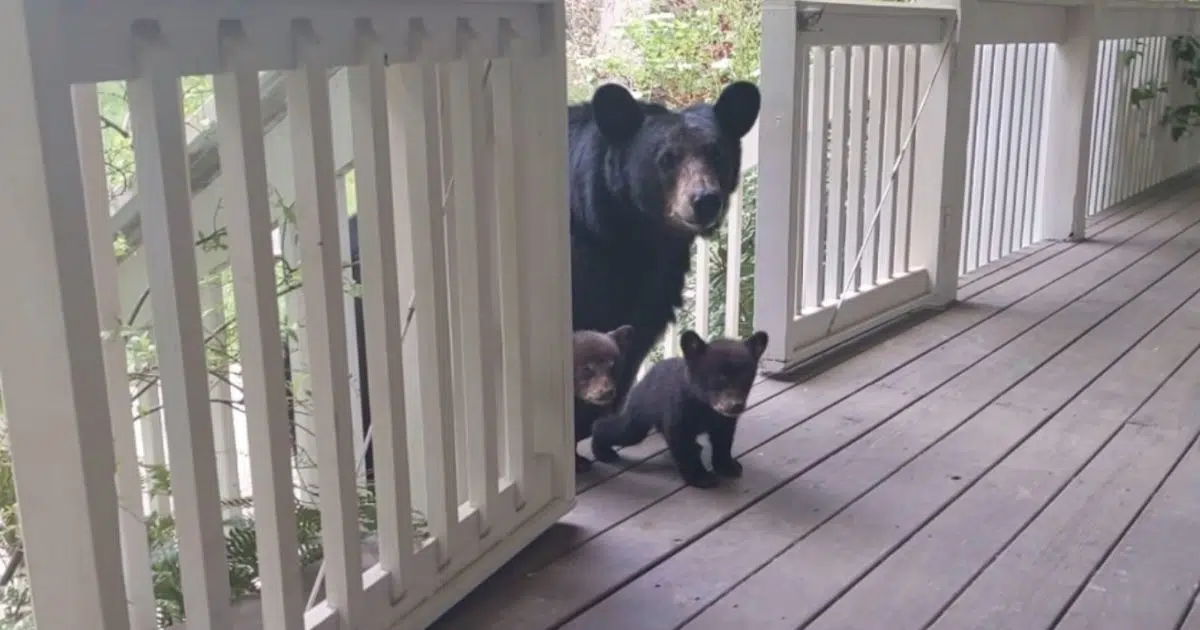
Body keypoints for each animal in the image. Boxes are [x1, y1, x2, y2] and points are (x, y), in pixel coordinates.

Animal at [590, 329, 769, 489]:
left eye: (746, 377)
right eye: (719, 378)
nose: (736, 405)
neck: (705, 406)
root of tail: (645, 378)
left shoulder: (724, 421)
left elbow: (723, 441)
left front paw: (727, 465)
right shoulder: (679, 413)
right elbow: (682, 444)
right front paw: (700, 477)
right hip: (639, 413)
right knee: (619, 429)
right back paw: (602, 451)